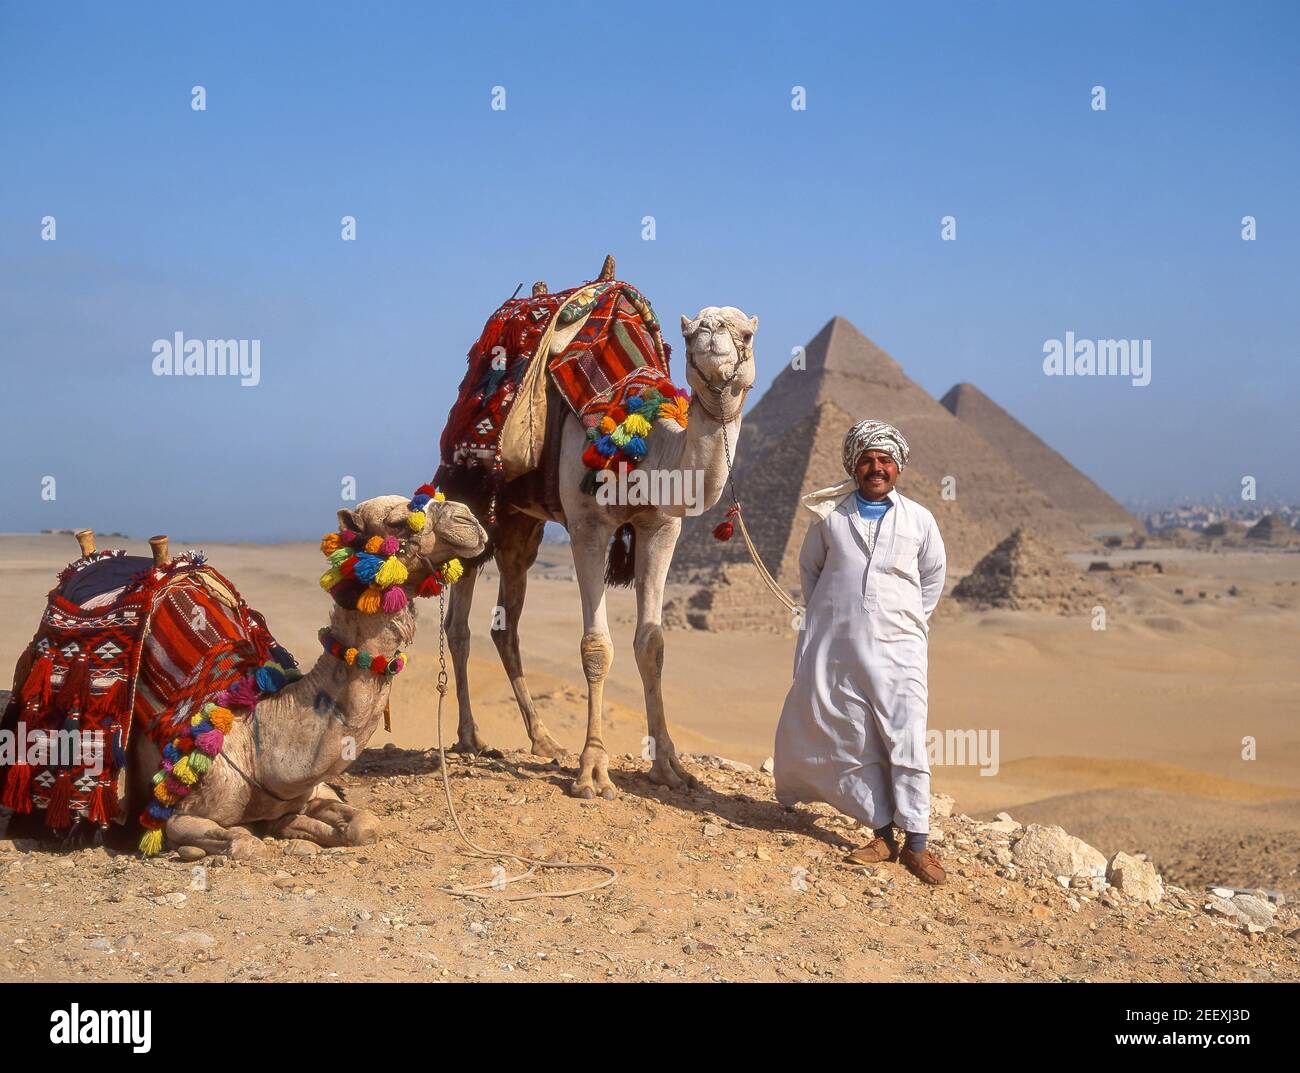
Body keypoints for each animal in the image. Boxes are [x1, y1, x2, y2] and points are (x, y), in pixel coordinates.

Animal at [444, 301, 759, 795]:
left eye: (745, 335)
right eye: (690, 336)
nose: (711, 333)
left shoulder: (661, 527)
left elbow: (652, 644)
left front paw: (669, 766)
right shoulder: (587, 526)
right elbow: (596, 646)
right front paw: (592, 769)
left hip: (521, 526)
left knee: (505, 621)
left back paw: (544, 740)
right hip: (472, 496)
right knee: (459, 623)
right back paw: (471, 736)